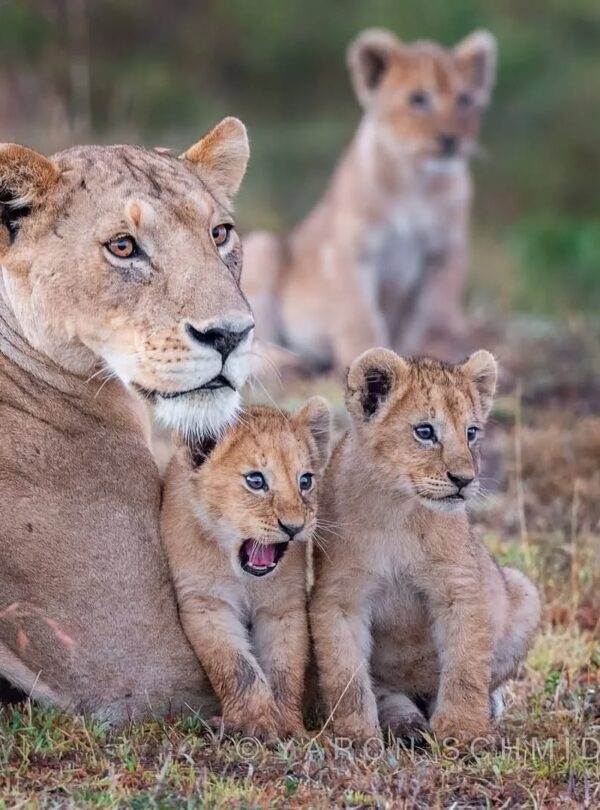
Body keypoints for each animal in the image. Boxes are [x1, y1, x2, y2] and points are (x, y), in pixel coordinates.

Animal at [161, 399, 332, 737]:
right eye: (255, 481)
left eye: (305, 481)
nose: (294, 527)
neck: (242, 576)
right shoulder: (205, 603)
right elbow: (236, 666)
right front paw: (255, 724)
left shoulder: (282, 607)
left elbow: (285, 668)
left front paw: (288, 726)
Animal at [243, 29, 496, 371]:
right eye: (418, 99)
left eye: (465, 100)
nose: (450, 139)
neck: (416, 181)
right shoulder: (351, 249)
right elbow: (358, 312)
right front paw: (363, 355)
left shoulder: (445, 251)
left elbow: (436, 310)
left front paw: (436, 354)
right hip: (263, 247)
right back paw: (290, 360)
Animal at [310, 348, 540, 741]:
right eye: (425, 432)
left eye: (471, 433)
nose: (464, 480)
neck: (397, 510)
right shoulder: (338, 597)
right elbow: (346, 675)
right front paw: (355, 735)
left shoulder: (459, 586)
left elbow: (465, 665)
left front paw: (463, 731)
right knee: (387, 690)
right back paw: (405, 723)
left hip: (523, 590)